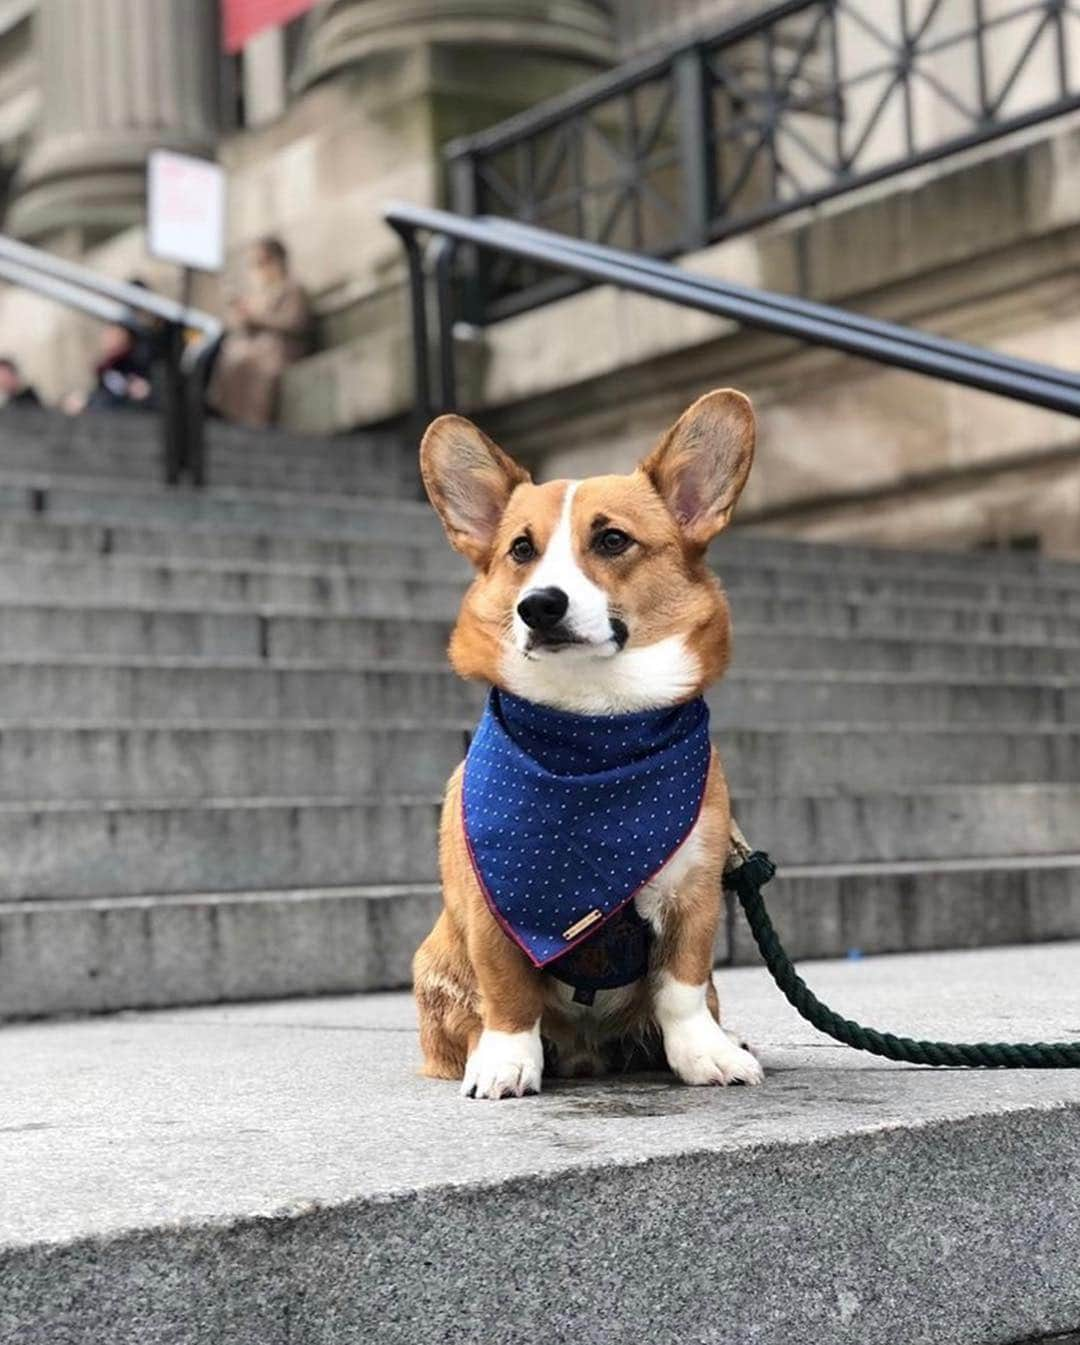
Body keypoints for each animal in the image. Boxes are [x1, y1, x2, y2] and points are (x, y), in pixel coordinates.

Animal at [408, 384, 763, 1097]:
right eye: (521, 550)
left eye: (613, 539)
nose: (539, 606)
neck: (595, 727)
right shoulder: (492, 909)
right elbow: (507, 991)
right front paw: (507, 1063)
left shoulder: (695, 893)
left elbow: (682, 986)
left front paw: (704, 1056)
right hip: (435, 963)